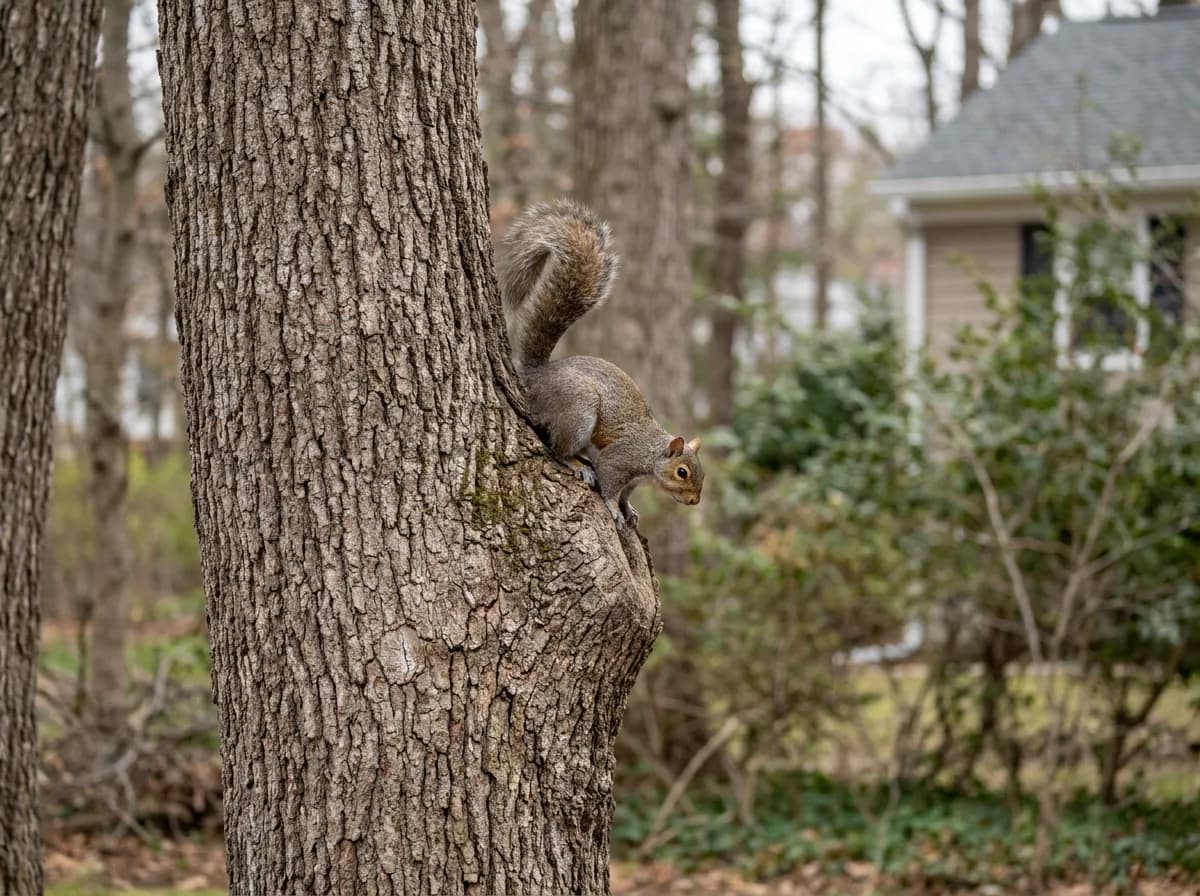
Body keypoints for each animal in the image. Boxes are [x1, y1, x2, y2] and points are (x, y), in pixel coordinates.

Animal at [500, 199, 704, 528]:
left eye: (701, 472)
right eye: (682, 472)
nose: (694, 501)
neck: (651, 456)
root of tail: (539, 373)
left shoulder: (633, 480)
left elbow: (626, 494)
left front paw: (629, 508)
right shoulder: (619, 459)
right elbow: (609, 484)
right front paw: (614, 508)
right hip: (579, 410)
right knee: (559, 450)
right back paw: (576, 463)